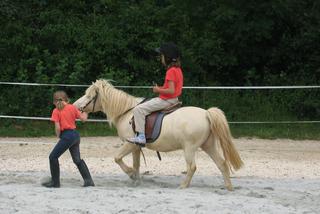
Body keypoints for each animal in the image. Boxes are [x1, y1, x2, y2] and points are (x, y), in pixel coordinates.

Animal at [73, 79, 242, 190]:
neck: (127, 112)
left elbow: (117, 158)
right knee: (222, 163)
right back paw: (229, 187)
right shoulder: (135, 147)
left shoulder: (129, 144)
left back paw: (183, 186)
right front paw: (136, 180)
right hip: (208, 145)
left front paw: (131, 174)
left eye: (89, 95)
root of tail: (206, 113)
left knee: (192, 167)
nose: (75, 105)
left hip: (189, 148)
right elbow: (136, 164)